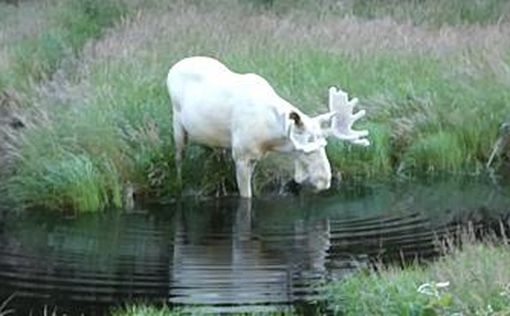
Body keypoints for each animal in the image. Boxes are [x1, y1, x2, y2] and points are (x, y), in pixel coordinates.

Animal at [167, 56, 370, 198]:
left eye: (324, 145)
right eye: (306, 150)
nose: (325, 180)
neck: (270, 138)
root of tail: (172, 68)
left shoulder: (254, 156)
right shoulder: (241, 156)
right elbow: (246, 196)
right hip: (177, 123)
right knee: (178, 158)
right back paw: (178, 184)